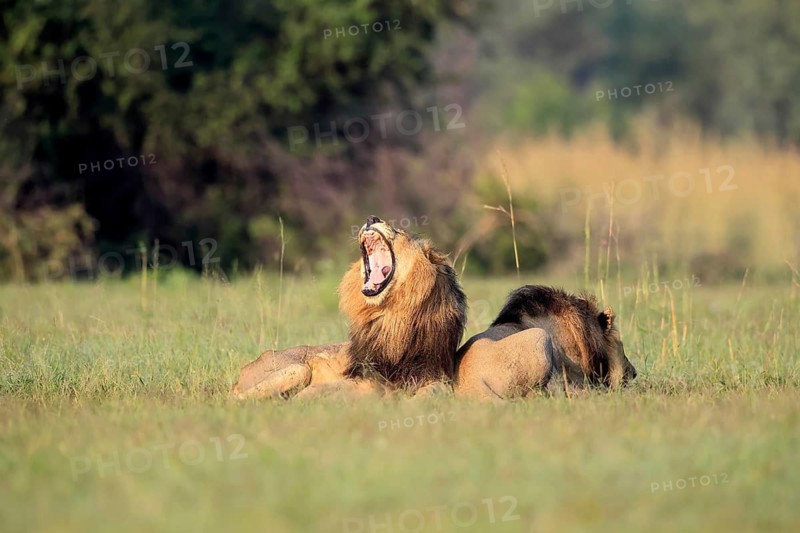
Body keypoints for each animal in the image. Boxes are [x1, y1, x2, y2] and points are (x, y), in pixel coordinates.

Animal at [231, 215, 467, 400]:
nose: (372, 218)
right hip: (297, 368)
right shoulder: (363, 373)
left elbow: (436, 391)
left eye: (400, 232)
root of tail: (244, 371)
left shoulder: (435, 374)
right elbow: (368, 387)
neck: (392, 315)